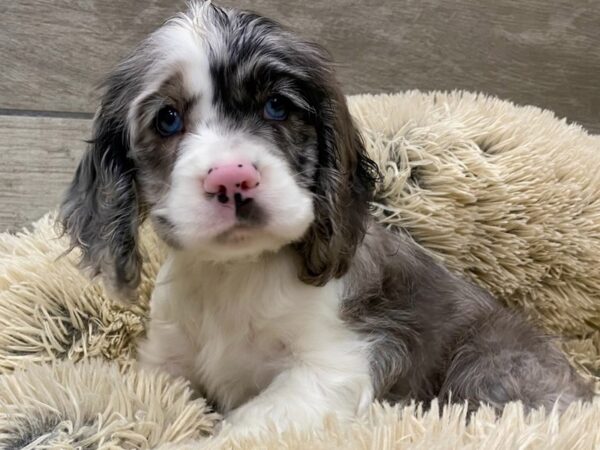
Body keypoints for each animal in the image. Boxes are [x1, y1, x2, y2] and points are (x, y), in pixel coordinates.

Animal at [58, 0, 592, 436]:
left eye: (277, 107)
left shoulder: (335, 364)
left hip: (488, 368)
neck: (236, 274)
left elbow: (244, 426)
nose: (232, 179)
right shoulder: (166, 361)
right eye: (168, 119)